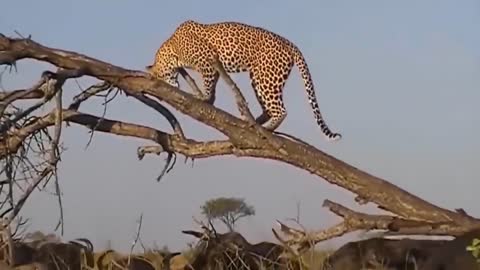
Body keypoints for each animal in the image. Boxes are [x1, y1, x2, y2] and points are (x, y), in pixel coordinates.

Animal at [145, 19, 342, 141]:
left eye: (163, 77)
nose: (171, 84)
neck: (172, 47)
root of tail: (290, 43)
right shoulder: (215, 68)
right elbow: (213, 86)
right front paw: (209, 99)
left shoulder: (207, 62)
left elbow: (208, 84)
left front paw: (203, 97)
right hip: (258, 78)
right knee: (268, 108)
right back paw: (252, 122)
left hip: (267, 76)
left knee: (281, 110)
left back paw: (266, 129)